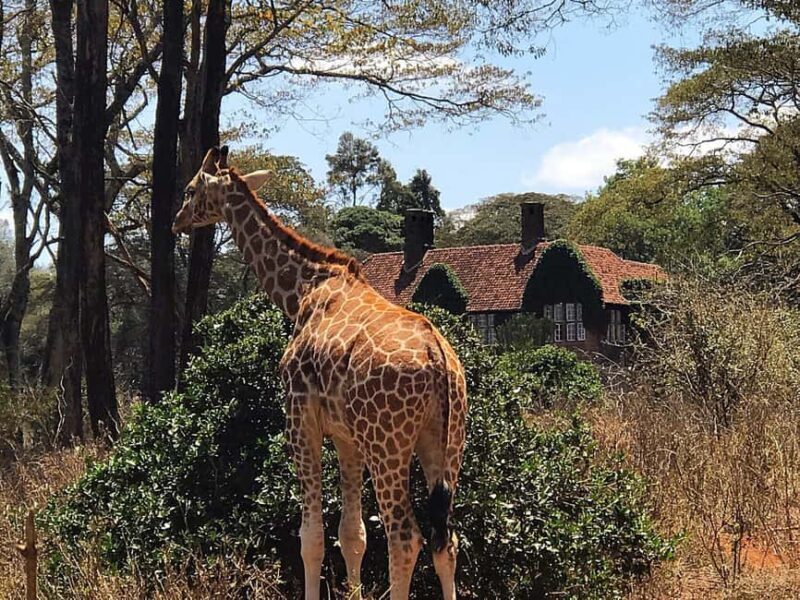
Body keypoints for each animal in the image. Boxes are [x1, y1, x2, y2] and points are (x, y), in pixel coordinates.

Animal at [173, 146, 467, 600]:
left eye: (190, 190)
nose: (176, 221)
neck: (301, 292)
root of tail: (439, 361)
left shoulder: (300, 420)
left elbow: (310, 538)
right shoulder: (346, 437)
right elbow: (352, 535)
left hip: (388, 445)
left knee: (405, 538)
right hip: (446, 444)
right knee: (445, 541)